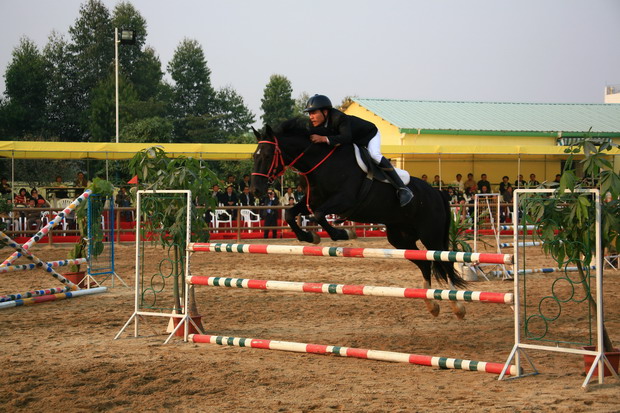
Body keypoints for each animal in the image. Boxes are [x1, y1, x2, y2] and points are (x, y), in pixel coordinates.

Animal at [249, 117, 468, 318]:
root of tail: (438, 193)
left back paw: (458, 306)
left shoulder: (344, 200)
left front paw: (344, 233)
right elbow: (290, 213)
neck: (320, 162)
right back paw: (432, 305)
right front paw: (310, 237)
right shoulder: (314, 201)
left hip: (431, 235)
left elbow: (319, 215)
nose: (256, 190)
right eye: (254, 156)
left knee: (445, 262)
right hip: (400, 238)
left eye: (268, 155)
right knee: (425, 263)